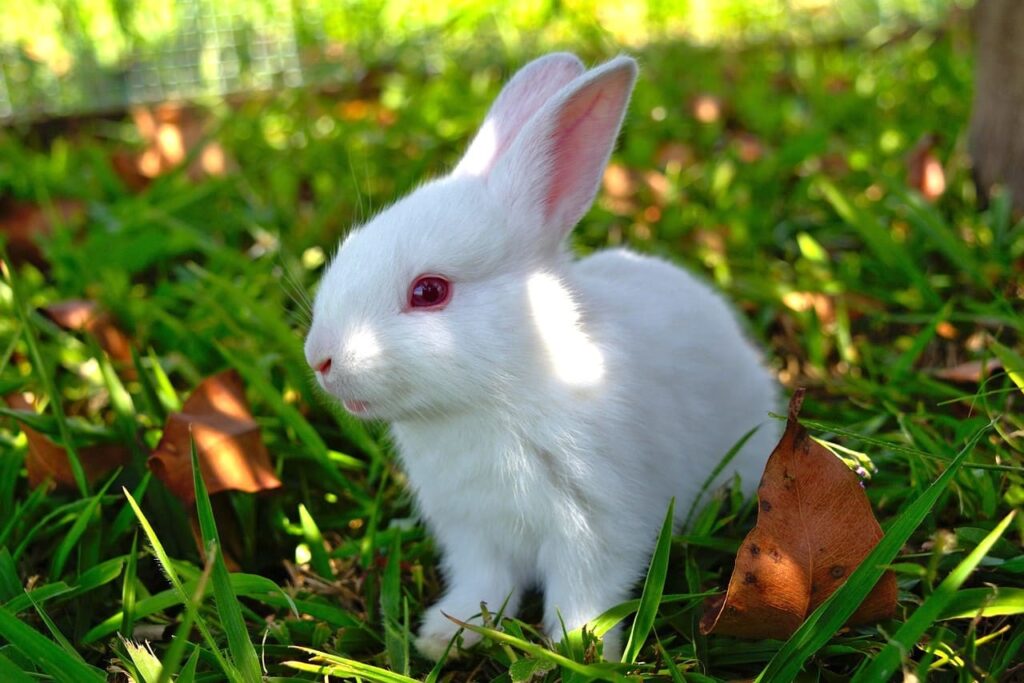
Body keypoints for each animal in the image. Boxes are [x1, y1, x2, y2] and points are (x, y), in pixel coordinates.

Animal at [304, 52, 781, 661]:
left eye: (429, 291)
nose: (320, 358)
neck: (500, 391)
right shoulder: (473, 534)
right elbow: (483, 585)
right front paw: (446, 635)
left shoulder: (594, 525)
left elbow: (584, 592)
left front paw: (580, 650)